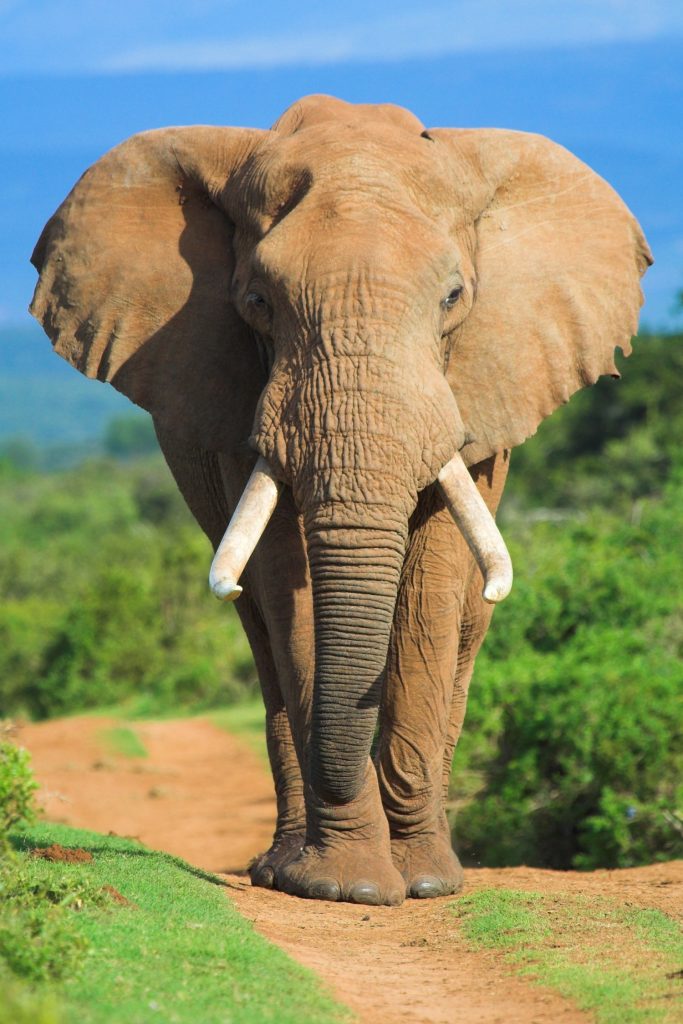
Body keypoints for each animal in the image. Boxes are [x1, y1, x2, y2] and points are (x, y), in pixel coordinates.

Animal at [30, 94, 651, 907]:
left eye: (454, 298)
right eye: (256, 302)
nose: (405, 875)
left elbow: (432, 583)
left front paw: (420, 882)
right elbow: (283, 583)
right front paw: (344, 885)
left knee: (463, 631)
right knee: (261, 634)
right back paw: (281, 869)